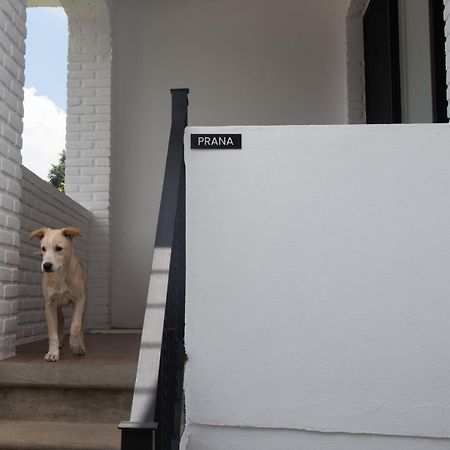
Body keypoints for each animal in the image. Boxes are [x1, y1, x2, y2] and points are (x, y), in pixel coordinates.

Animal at [29, 227, 87, 360]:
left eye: (59, 248)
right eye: (43, 248)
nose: (46, 265)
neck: (60, 274)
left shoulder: (79, 299)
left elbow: (75, 326)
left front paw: (75, 345)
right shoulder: (50, 303)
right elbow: (52, 332)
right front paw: (53, 353)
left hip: (83, 305)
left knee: (81, 325)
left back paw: (80, 345)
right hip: (57, 305)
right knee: (61, 318)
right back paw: (61, 341)